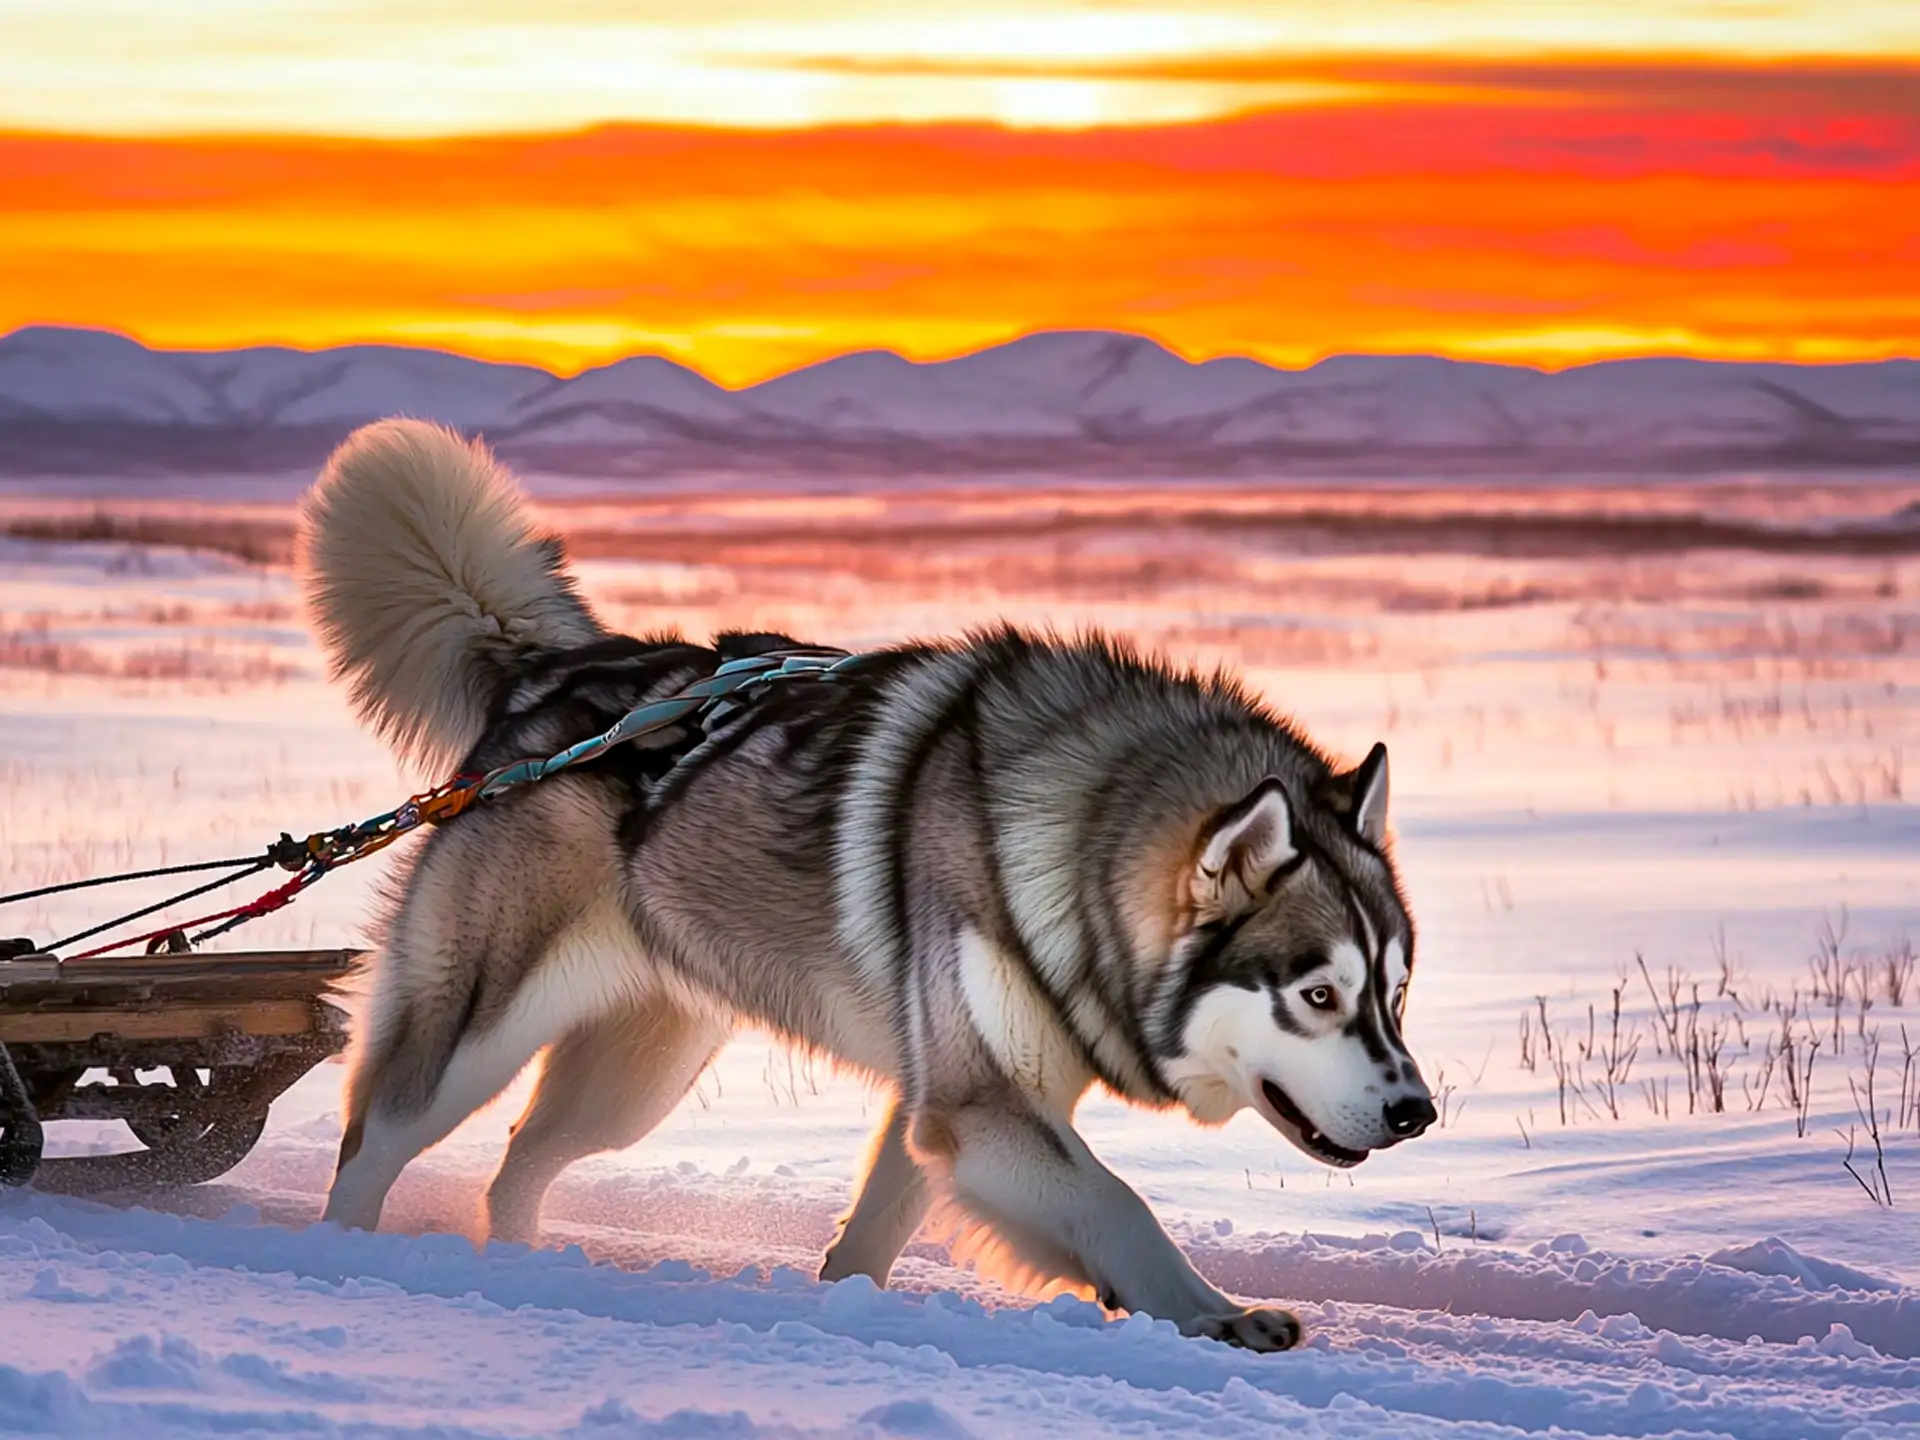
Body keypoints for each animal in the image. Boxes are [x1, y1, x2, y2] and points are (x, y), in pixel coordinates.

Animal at [299, 416, 1436, 1351]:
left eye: (1394, 992)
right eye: (1317, 994)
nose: (1418, 1114)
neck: (1079, 835)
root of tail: (553, 671)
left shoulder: (947, 1102)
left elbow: (881, 1224)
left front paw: (847, 1304)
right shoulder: (979, 1102)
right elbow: (1120, 1204)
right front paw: (1217, 1314)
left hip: (635, 1077)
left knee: (524, 1158)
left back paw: (521, 1257)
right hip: (476, 1032)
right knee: (375, 1138)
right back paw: (346, 1260)